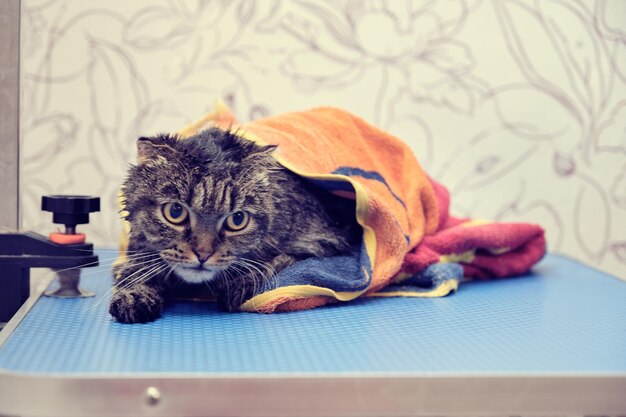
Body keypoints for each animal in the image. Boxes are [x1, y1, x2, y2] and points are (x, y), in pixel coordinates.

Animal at [109, 128, 358, 324]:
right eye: (175, 212)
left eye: (237, 220)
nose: (203, 254)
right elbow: (136, 269)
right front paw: (133, 293)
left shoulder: (325, 241)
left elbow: (279, 260)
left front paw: (239, 282)